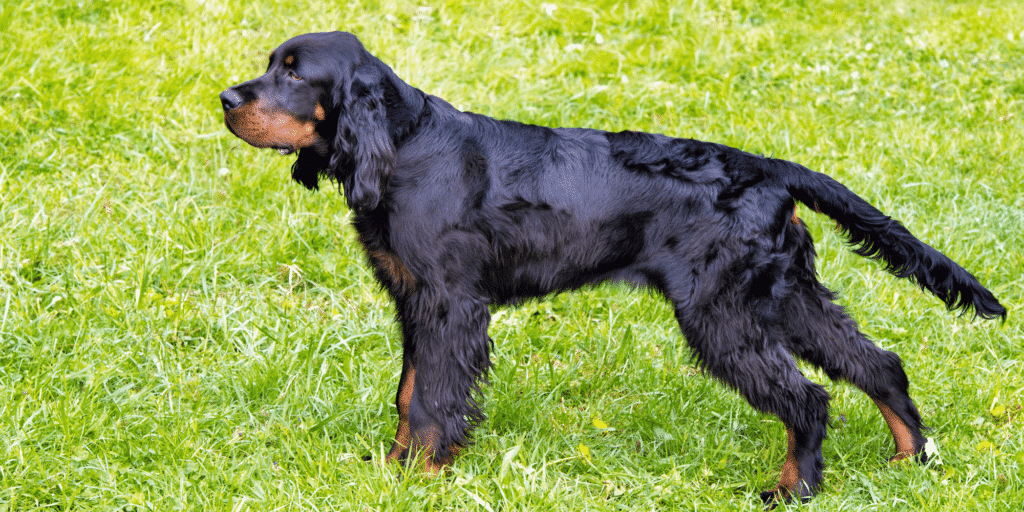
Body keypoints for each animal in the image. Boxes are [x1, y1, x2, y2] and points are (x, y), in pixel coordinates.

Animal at [218, 32, 1007, 503]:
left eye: (294, 73)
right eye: (270, 64)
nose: (227, 98)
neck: (405, 146)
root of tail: (768, 169)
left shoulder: (450, 304)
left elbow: (435, 398)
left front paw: (424, 475)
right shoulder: (414, 301)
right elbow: (410, 392)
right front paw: (394, 469)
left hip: (721, 312)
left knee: (809, 397)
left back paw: (791, 490)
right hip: (783, 295)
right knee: (879, 364)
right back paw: (910, 461)